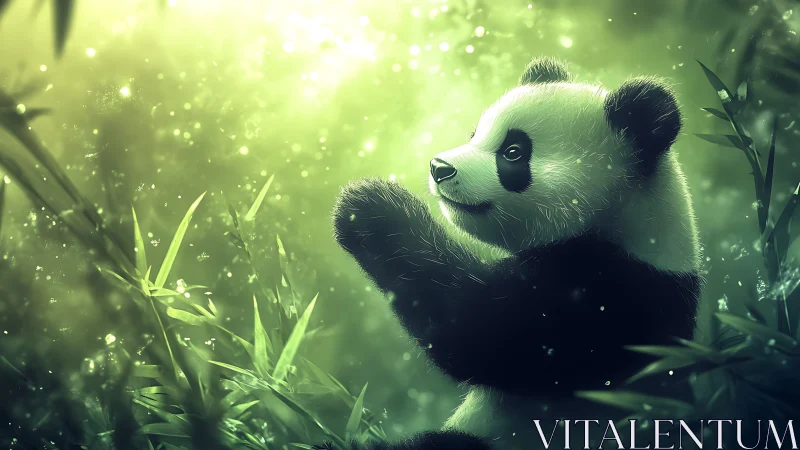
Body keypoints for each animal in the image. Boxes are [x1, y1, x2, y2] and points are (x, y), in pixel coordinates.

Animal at [330, 57, 702, 450]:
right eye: (474, 134)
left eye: (513, 153)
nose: (439, 167)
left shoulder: (608, 301)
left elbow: (475, 330)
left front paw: (368, 207)